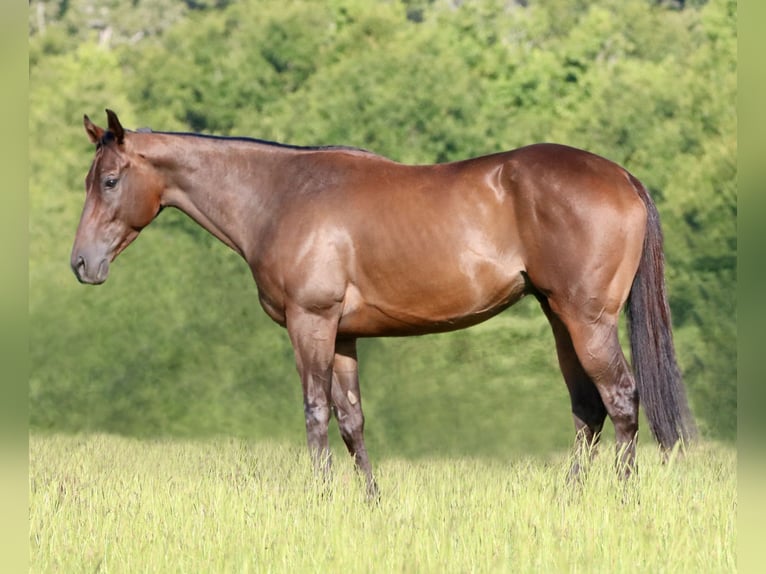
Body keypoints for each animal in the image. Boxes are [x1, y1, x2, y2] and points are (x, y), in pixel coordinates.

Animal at [71, 109, 695, 497]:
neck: (280, 196)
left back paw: (621, 500)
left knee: (621, 401)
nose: (81, 263)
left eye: (109, 180)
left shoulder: (310, 323)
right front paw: (369, 502)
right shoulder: (343, 334)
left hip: (588, 321)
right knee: (589, 411)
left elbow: (315, 413)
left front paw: (321, 501)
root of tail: (623, 177)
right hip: (560, 318)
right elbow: (352, 420)